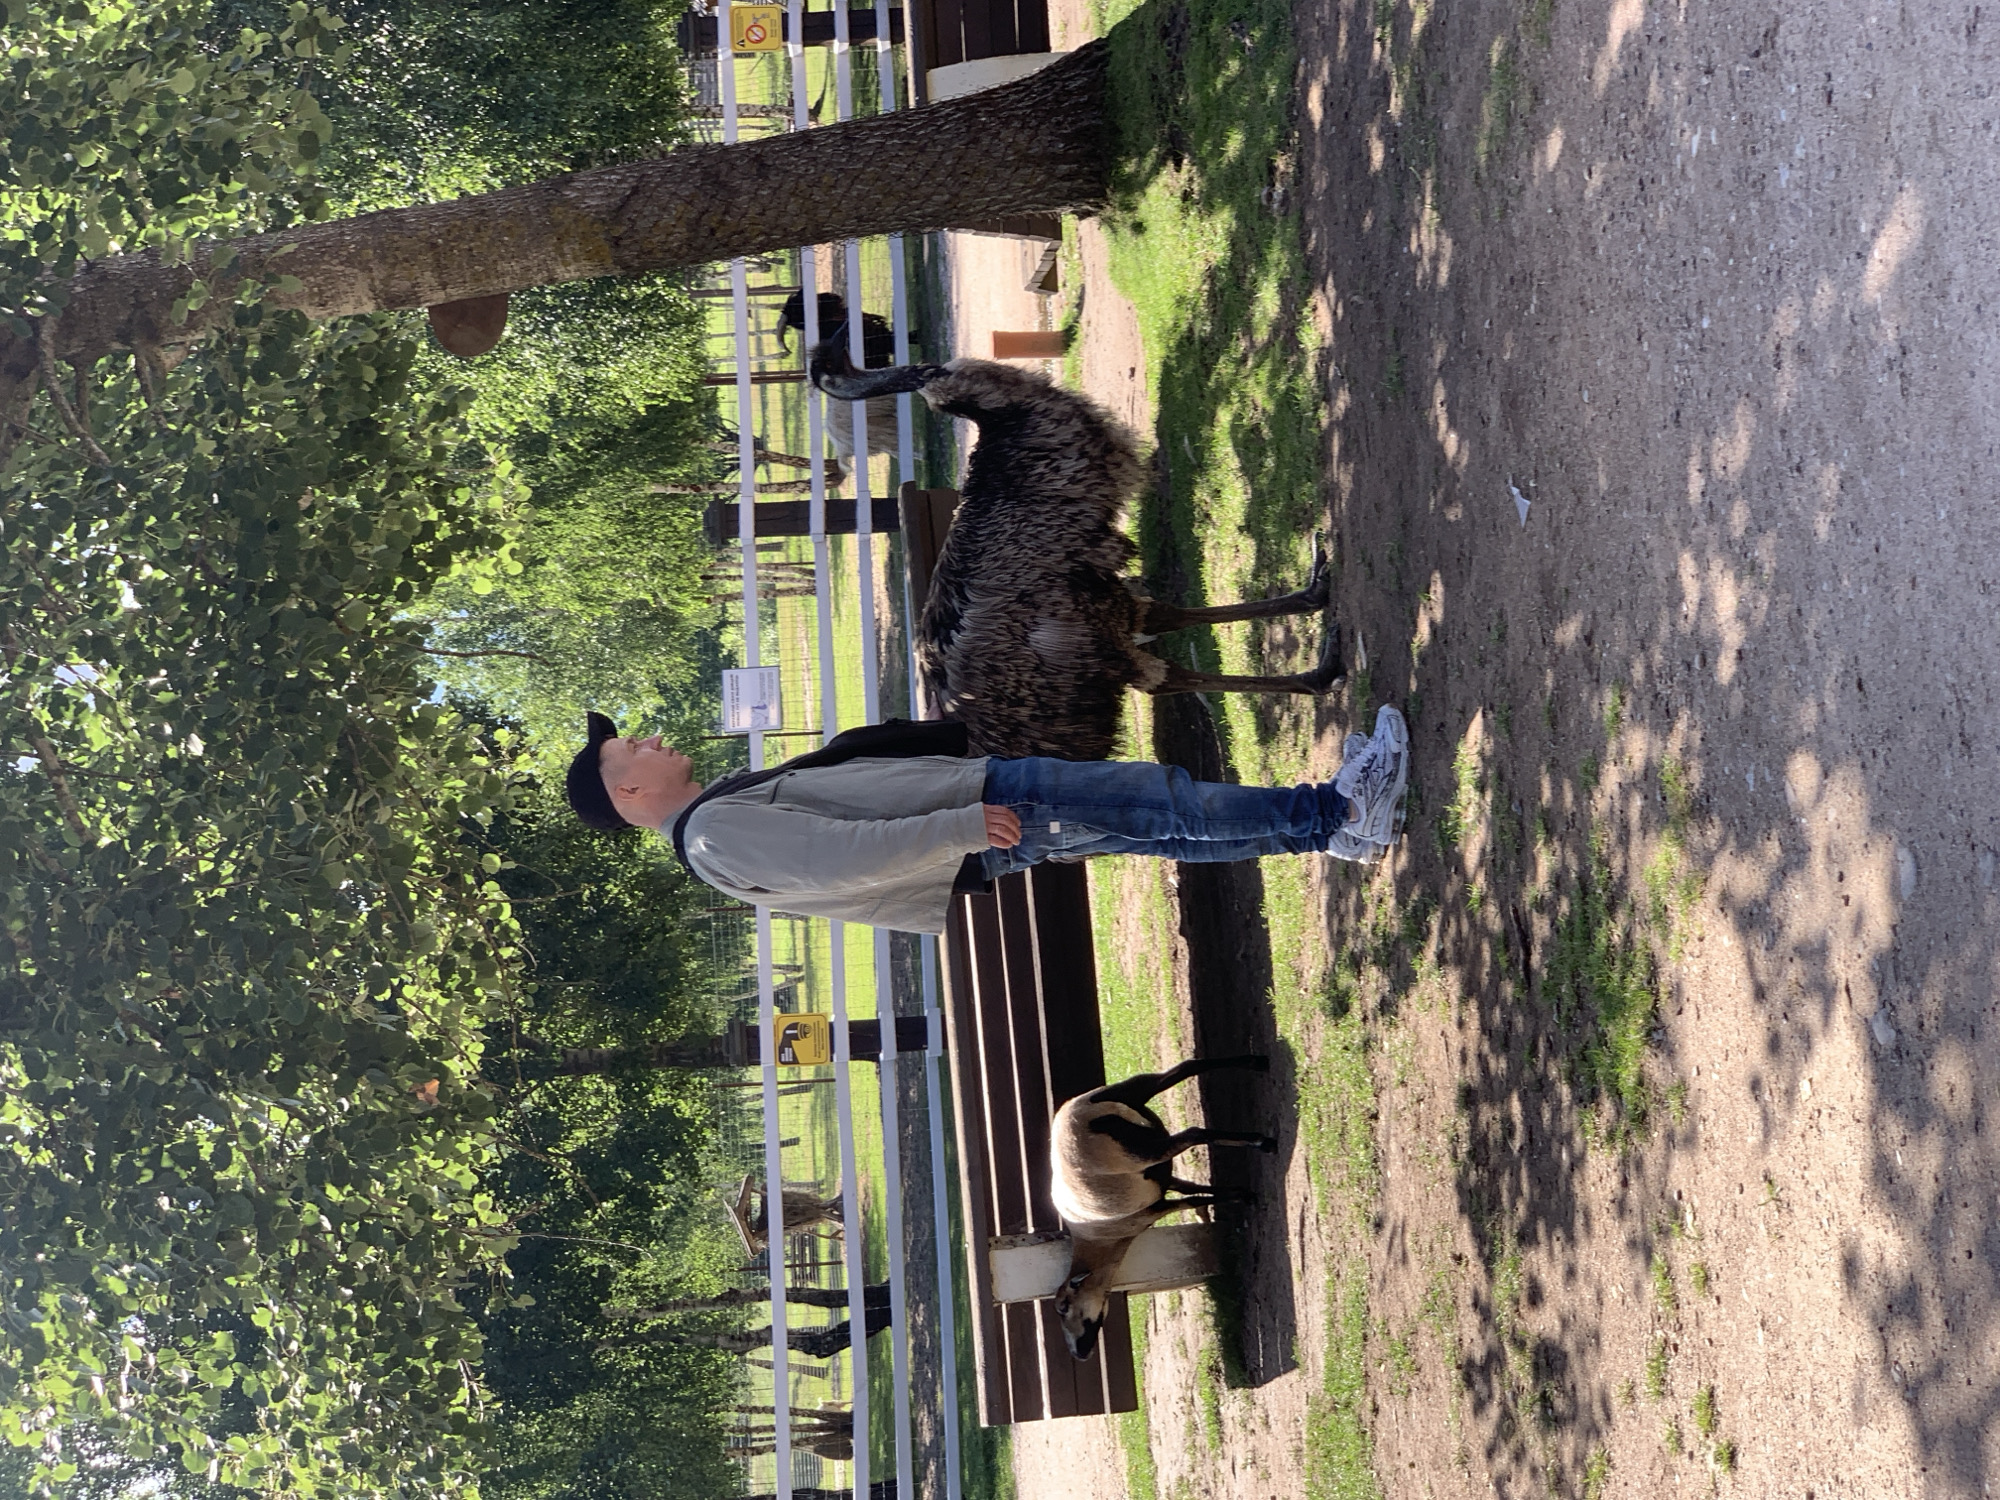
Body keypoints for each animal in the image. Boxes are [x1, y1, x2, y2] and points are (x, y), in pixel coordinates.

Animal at [808, 340, 1340, 759]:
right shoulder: (1083, 630)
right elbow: (1166, 672)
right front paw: (1322, 670)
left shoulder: (1095, 589)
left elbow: (1168, 614)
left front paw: (1317, 589)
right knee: (1165, 676)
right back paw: (1321, 672)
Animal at [1048, 1055, 1276, 1360]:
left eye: (1063, 1307)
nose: (1078, 1355)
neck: (1103, 1240)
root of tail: (1082, 1115)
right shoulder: (1160, 1182)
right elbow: (1191, 1189)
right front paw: (1241, 1193)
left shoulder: (1150, 1210)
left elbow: (1193, 1200)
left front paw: (1241, 1195)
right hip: (1128, 1095)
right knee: (1185, 1068)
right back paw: (1258, 1063)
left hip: (1137, 1150)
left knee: (1193, 1133)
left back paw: (1263, 1141)